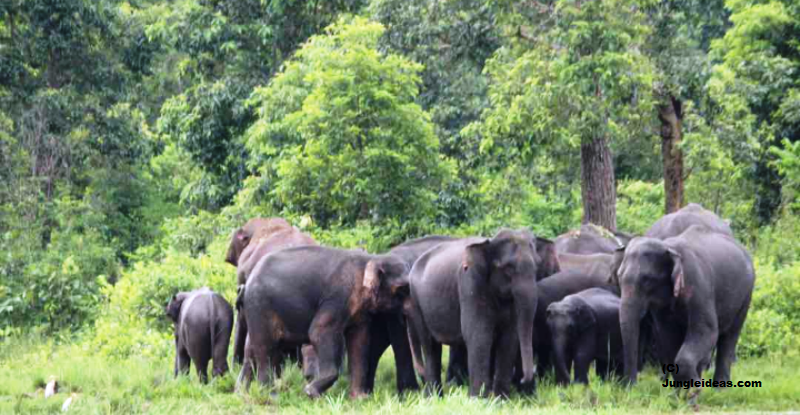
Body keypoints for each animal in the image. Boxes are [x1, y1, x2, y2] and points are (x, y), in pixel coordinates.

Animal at [238, 247, 412, 400]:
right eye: (402, 289)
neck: (371, 258)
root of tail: (246, 284)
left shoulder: (359, 310)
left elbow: (359, 340)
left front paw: (360, 399)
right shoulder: (338, 296)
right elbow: (319, 332)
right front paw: (311, 392)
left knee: (251, 349)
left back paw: (242, 393)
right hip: (260, 307)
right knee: (266, 348)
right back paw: (270, 396)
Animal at [406, 229, 556, 398]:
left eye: (537, 267)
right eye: (508, 268)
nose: (524, 379)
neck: (490, 242)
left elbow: (509, 336)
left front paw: (501, 399)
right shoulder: (469, 281)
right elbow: (479, 334)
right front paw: (478, 399)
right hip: (416, 301)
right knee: (430, 345)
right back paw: (433, 397)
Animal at [608, 224, 752, 390]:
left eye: (647, 280)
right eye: (619, 277)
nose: (630, 387)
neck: (668, 246)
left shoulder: (698, 285)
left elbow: (706, 331)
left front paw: (693, 389)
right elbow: (668, 334)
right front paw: (679, 392)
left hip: (746, 294)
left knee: (729, 336)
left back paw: (719, 389)